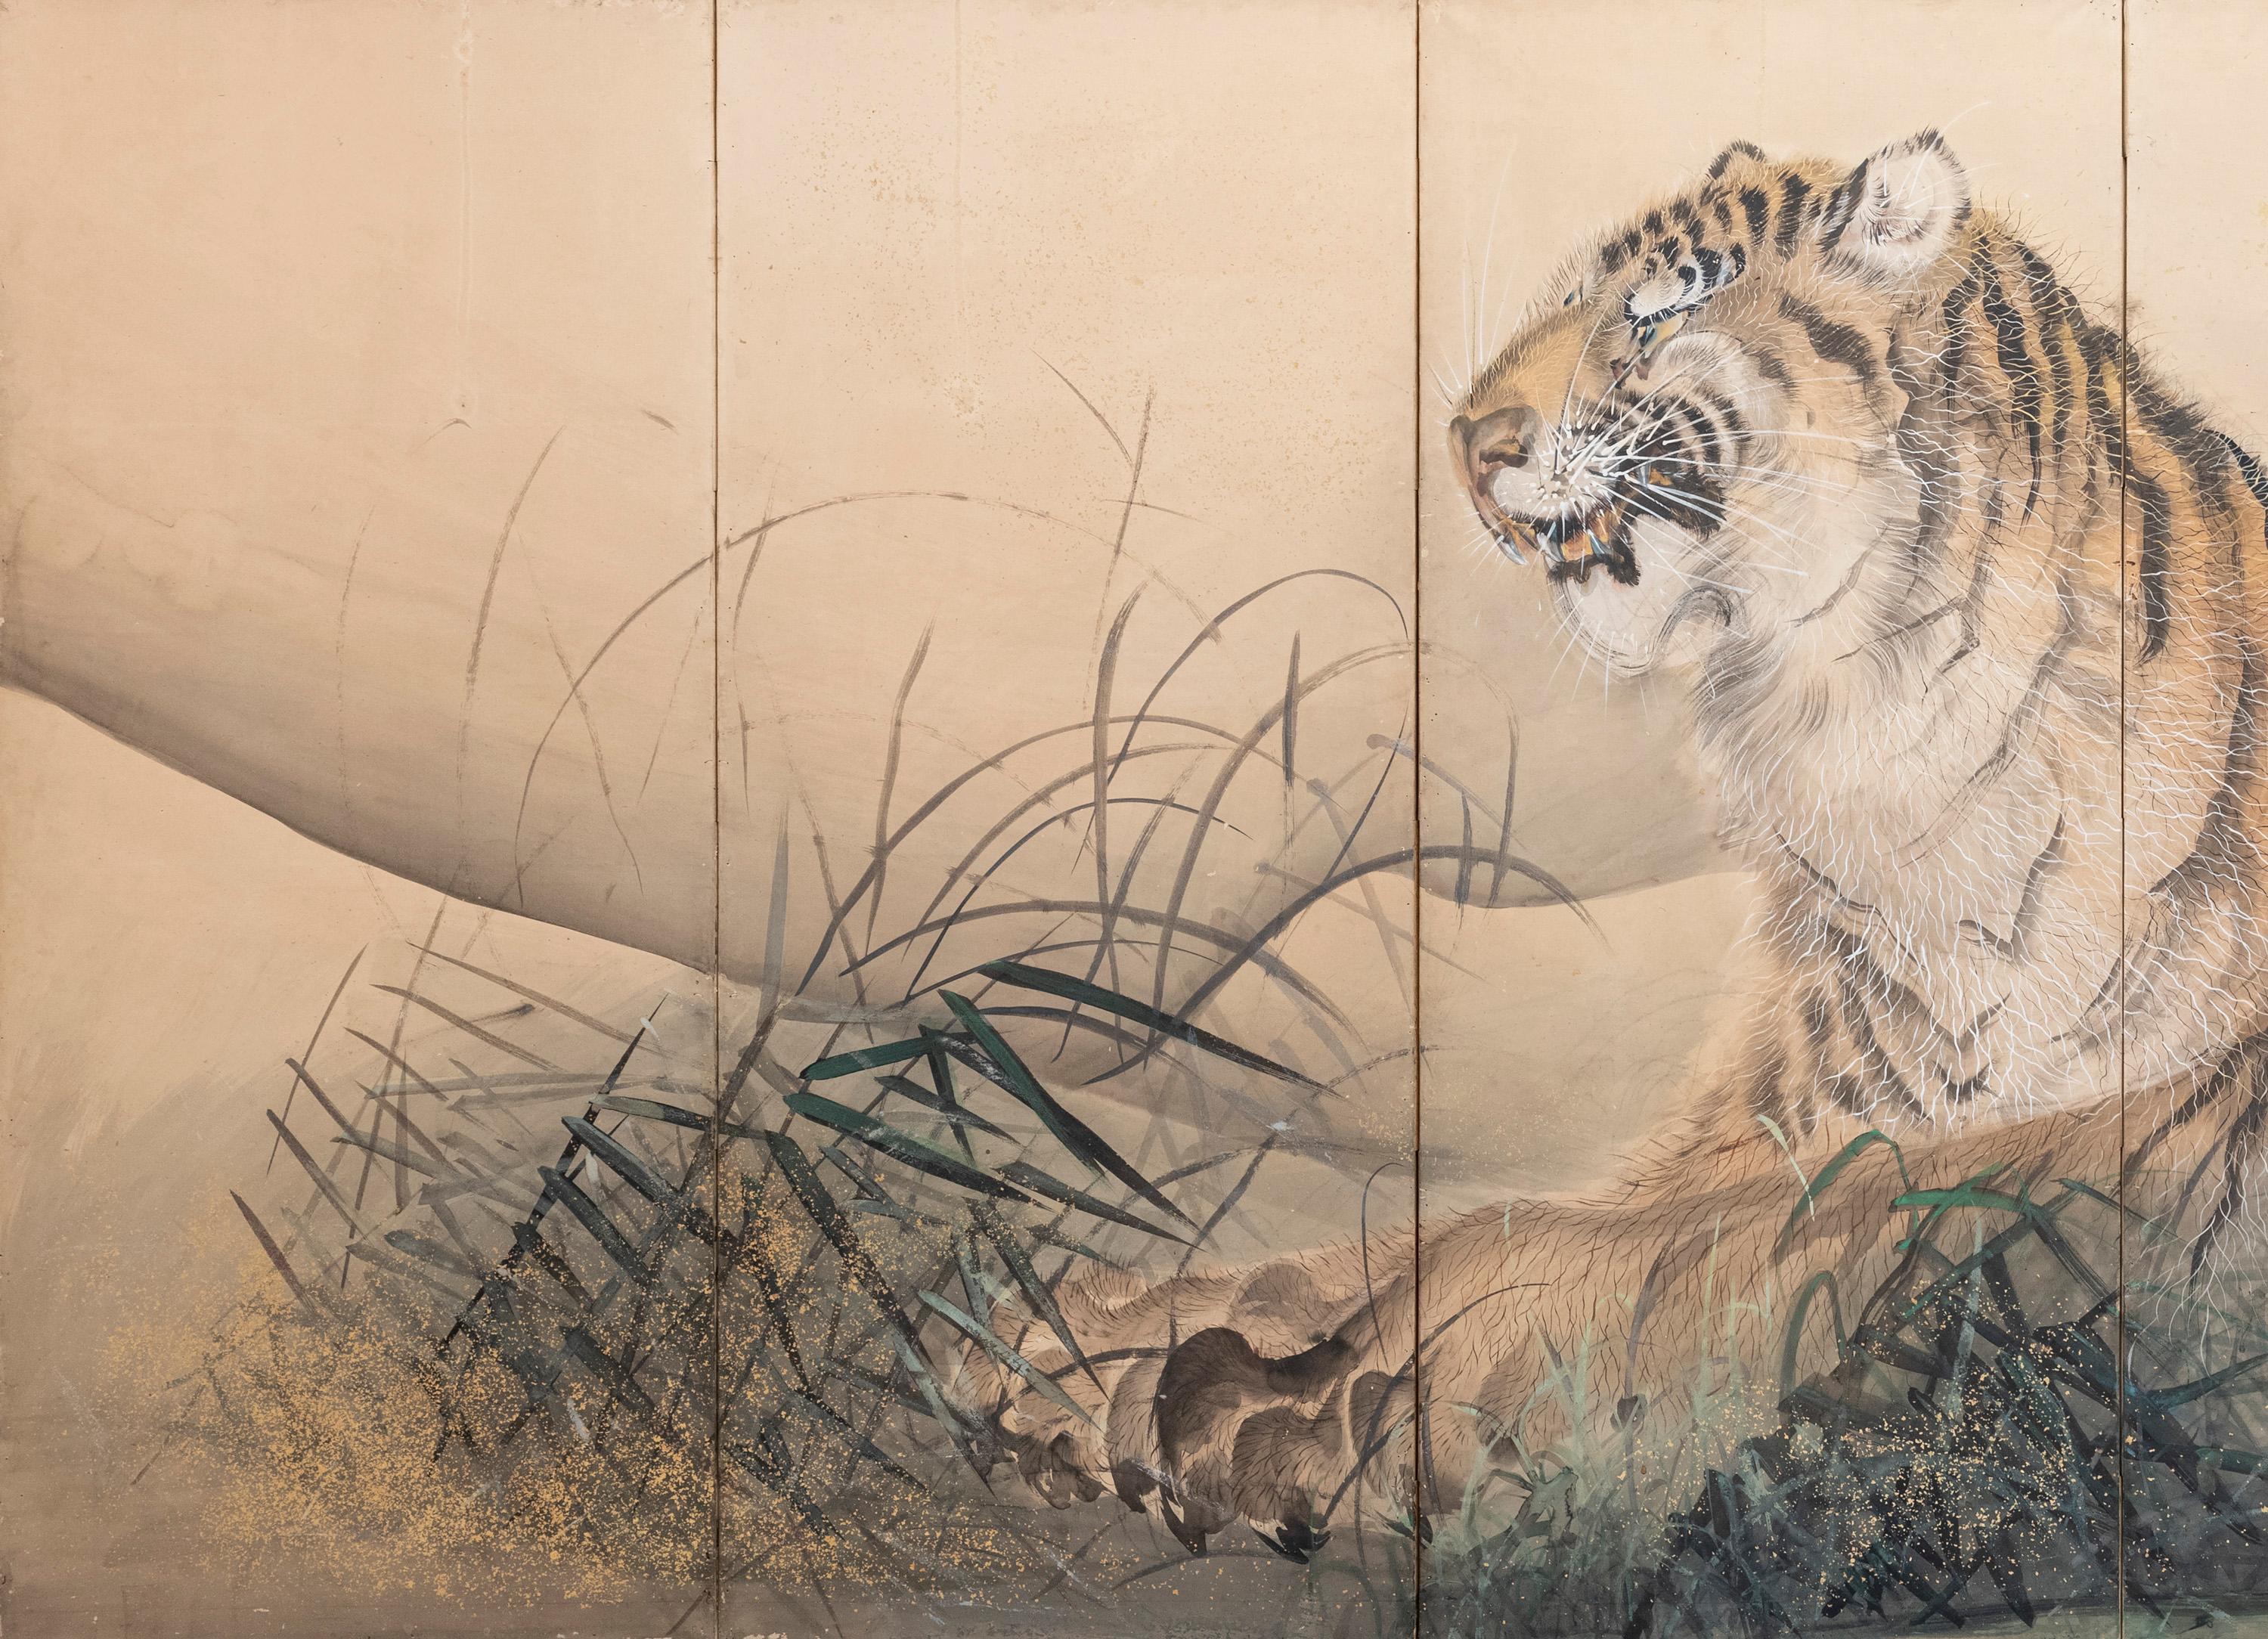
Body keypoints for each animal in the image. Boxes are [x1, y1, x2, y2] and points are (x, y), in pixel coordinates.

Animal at [959, 130, 2268, 1561]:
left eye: (1655, 311)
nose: (1466, 445)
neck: (1878, 700)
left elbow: (1602, 1262)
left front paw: (1207, 1405)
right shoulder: (1792, 1106)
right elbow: (1429, 1243)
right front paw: (1088, 1335)